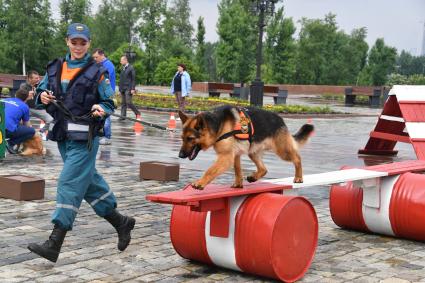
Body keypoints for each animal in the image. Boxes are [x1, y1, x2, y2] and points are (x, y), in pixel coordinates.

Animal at [177, 106, 314, 191]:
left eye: (190, 138)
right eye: (182, 138)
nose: (180, 155)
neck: (218, 124)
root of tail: (281, 119)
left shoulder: (226, 157)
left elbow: (210, 170)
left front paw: (200, 183)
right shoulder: (235, 155)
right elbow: (238, 171)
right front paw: (238, 184)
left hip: (282, 151)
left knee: (297, 158)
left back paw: (299, 177)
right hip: (252, 152)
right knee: (264, 169)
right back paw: (254, 177)